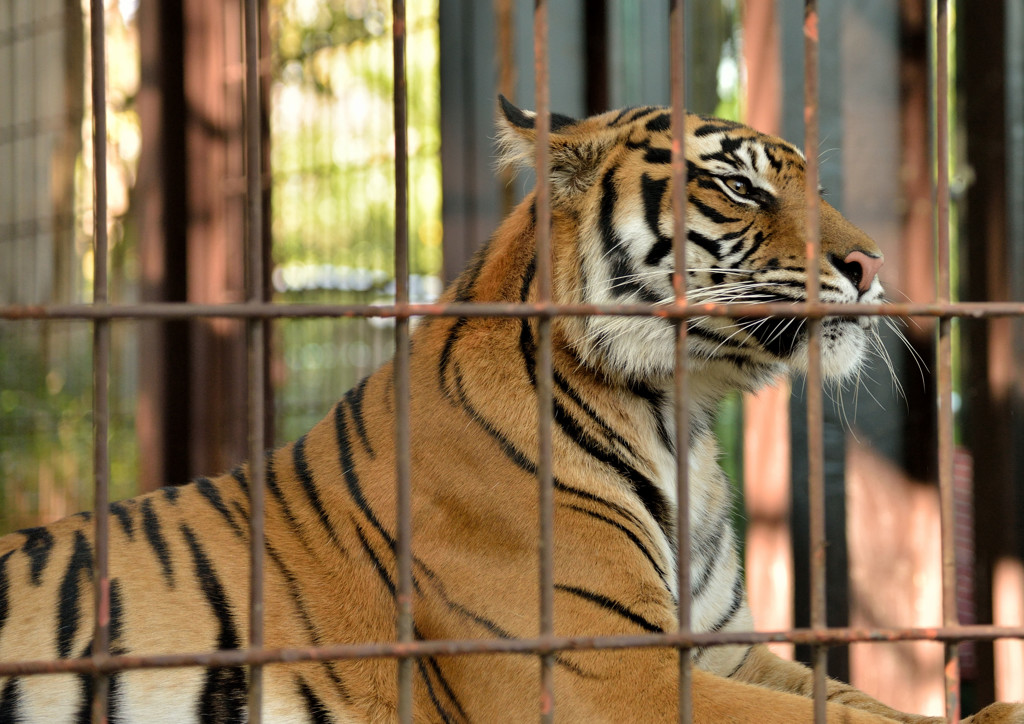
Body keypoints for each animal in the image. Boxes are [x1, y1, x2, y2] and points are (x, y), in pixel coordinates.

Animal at [2, 97, 1024, 724]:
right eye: (739, 185)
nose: (870, 265)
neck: (680, 417)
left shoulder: (726, 654)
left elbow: (865, 702)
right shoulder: (612, 673)